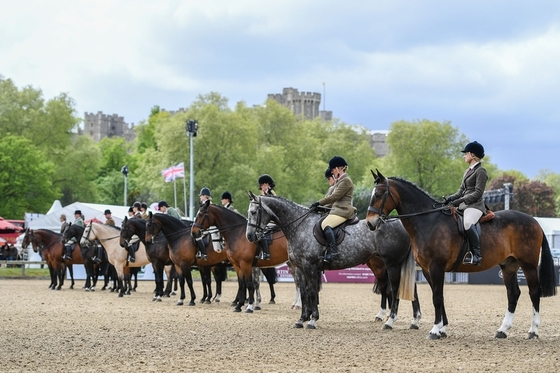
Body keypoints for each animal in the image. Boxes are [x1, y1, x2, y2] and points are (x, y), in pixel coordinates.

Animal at [246, 192, 420, 328]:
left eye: (254, 212)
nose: (250, 236)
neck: (300, 226)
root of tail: (400, 223)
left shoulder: (309, 265)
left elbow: (311, 291)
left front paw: (313, 320)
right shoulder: (300, 267)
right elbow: (304, 292)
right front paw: (302, 319)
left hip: (392, 264)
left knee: (395, 288)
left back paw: (391, 321)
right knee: (408, 289)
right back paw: (414, 320)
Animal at [364, 170, 556, 338]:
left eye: (379, 194)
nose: (370, 223)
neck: (428, 221)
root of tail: (534, 221)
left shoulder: (436, 266)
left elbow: (437, 297)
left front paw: (435, 331)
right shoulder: (426, 269)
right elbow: (438, 295)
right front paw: (442, 329)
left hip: (528, 264)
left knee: (534, 292)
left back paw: (533, 331)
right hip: (509, 265)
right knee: (513, 294)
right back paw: (502, 331)